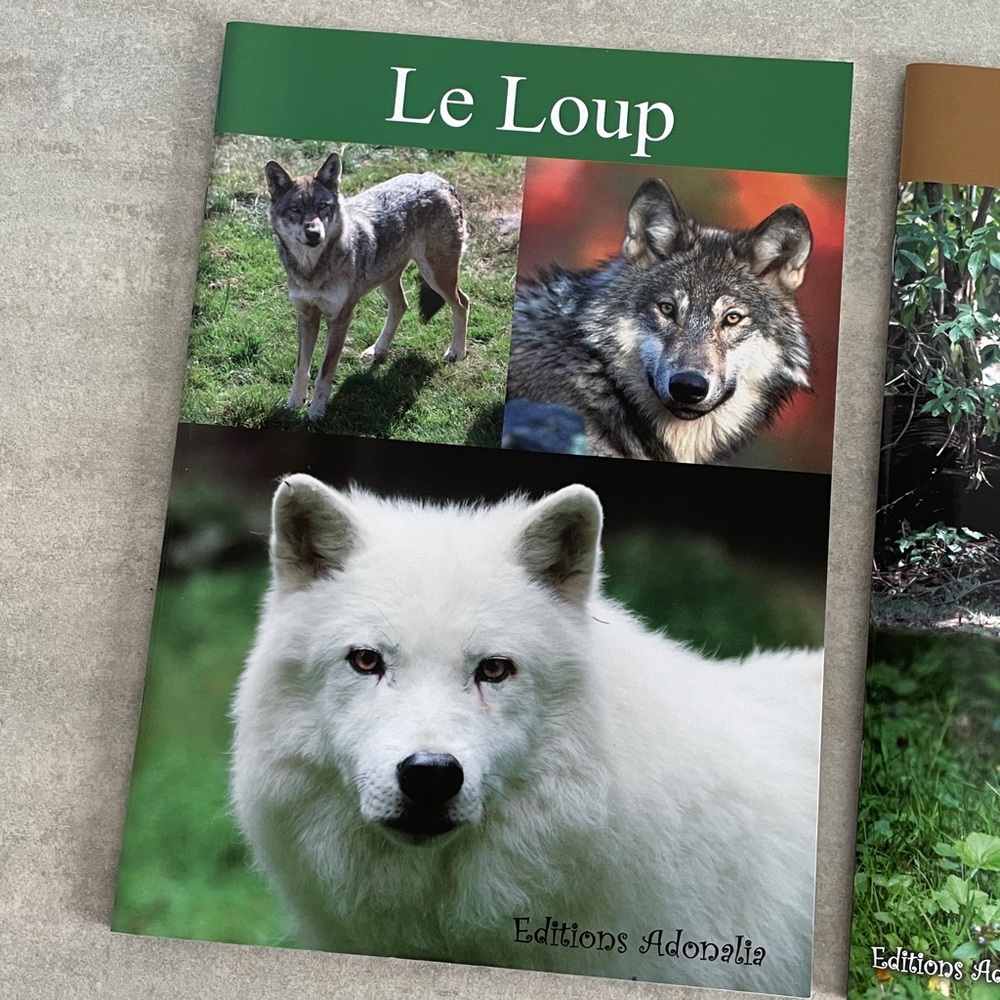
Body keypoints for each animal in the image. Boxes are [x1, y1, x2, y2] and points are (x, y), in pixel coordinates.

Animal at [265, 152, 470, 420]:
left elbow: (325, 372)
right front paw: (293, 404)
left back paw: (456, 351)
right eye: (295, 209)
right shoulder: (307, 316)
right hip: (388, 278)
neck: (312, 270)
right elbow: (302, 368)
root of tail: (439, 180)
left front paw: (316, 412)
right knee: (401, 306)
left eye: (322, 207)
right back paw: (378, 350)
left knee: (462, 303)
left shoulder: (340, 319)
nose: (314, 234)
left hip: (437, 277)